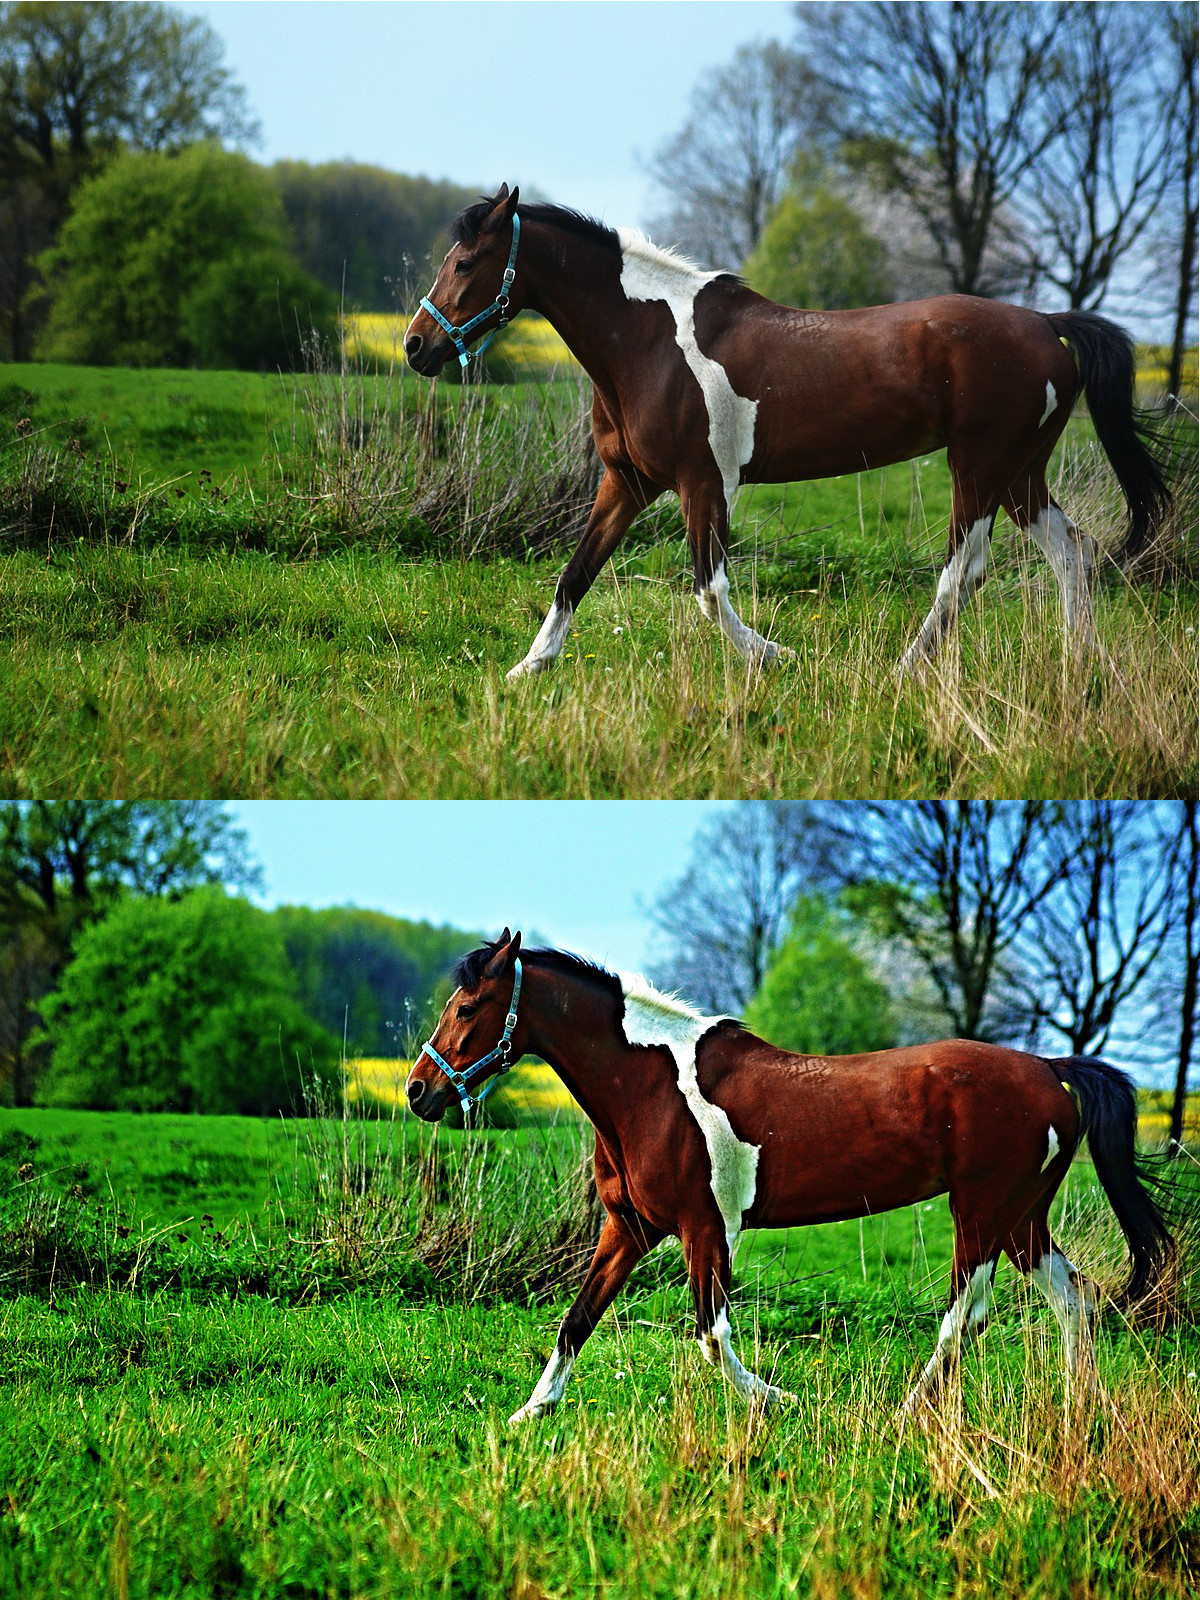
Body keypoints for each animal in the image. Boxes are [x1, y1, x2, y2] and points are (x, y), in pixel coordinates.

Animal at [404, 185, 1172, 681]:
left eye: (465, 264)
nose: (416, 347)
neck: (646, 341)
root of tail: (1046, 323)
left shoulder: (704, 484)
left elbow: (709, 591)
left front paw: (776, 657)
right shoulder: (627, 484)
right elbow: (575, 574)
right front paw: (527, 669)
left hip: (978, 469)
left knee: (965, 573)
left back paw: (905, 671)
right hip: (1019, 474)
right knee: (1072, 554)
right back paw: (1081, 666)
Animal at [405, 930, 1173, 1424]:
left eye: (467, 1008)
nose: (418, 1092)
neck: (648, 1086)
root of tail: (1048, 1069)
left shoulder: (705, 1228)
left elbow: (711, 1335)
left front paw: (778, 1401)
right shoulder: (630, 1230)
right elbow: (576, 1319)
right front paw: (530, 1412)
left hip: (980, 1214)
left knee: (968, 1315)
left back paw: (909, 1410)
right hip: (1020, 1220)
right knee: (1075, 1300)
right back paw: (1080, 1408)